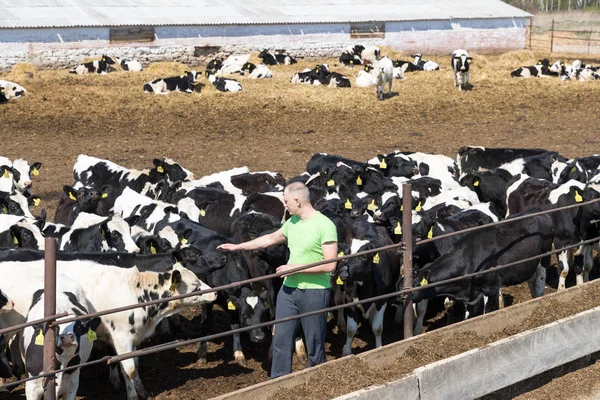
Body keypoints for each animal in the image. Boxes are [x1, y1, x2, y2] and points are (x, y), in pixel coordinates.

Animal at [0, 260, 216, 400]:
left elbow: (134, 364)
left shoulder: (133, 338)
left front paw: (140, 390)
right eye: (195, 286)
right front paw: (132, 395)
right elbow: (128, 368)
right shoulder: (122, 337)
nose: (214, 293)